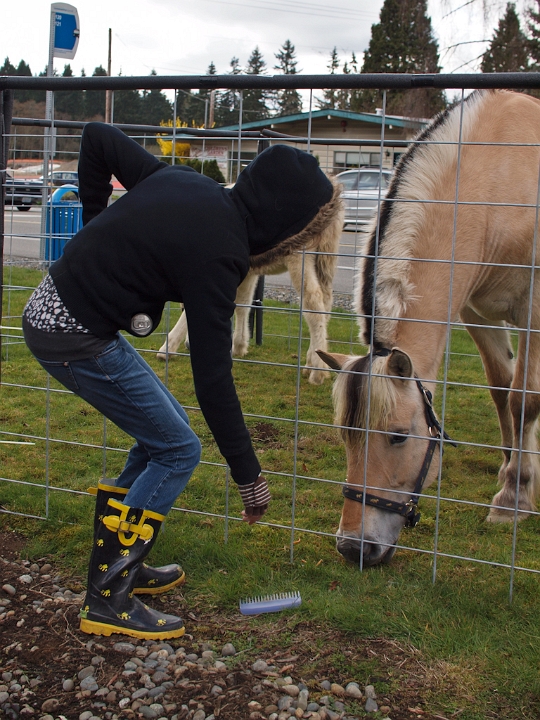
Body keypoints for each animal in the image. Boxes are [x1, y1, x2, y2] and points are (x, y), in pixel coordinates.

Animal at [156, 205, 342, 386]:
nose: (188, 345)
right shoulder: (249, 271)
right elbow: (243, 304)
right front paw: (239, 346)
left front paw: (166, 349)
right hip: (325, 257)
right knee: (325, 303)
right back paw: (313, 360)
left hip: (301, 254)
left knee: (313, 304)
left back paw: (317, 373)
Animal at [318, 88, 540, 564]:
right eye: (345, 436)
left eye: (400, 437)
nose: (353, 546)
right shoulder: (475, 312)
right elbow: (502, 389)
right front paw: (513, 467)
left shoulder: (534, 312)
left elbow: (524, 400)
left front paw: (513, 498)